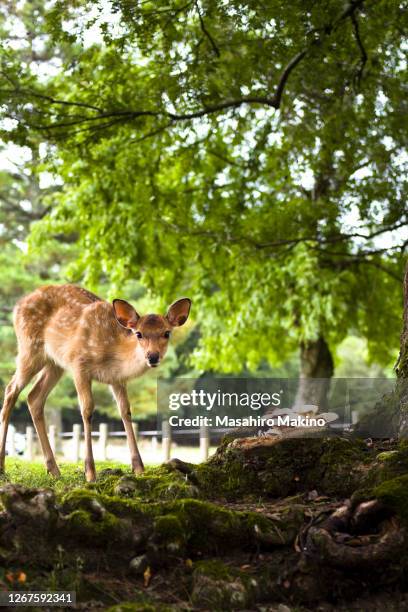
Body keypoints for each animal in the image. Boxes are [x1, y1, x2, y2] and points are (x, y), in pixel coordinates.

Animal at [0, 284, 191, 480]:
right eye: (139, 334)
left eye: (166, 333)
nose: (152, 356)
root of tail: (17, 306)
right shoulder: (79, 364)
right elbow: (87, 410)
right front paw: (90, 473)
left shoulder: (117, 379)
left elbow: (125, 411)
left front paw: (139, 468)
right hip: (30, 348)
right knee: (11, 390)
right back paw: (2, 467)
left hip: (55, 363)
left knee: (34, 397)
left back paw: (54, 469)